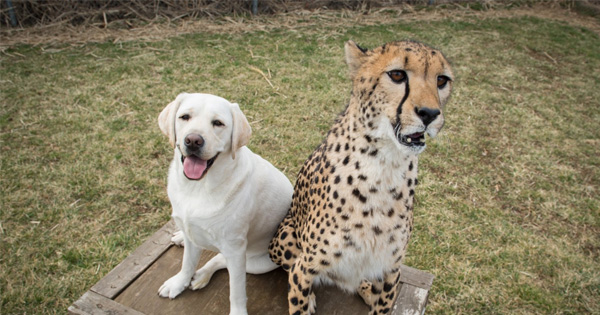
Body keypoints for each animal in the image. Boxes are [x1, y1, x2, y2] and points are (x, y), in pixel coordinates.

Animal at [270, 40, 452, 314]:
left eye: (442, 80)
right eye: (397, 75)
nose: (429, 113)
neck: (385, 164)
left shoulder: (390, 270)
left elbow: (383, 305)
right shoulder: (304, 267)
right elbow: (298, 294)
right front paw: (306, 299)